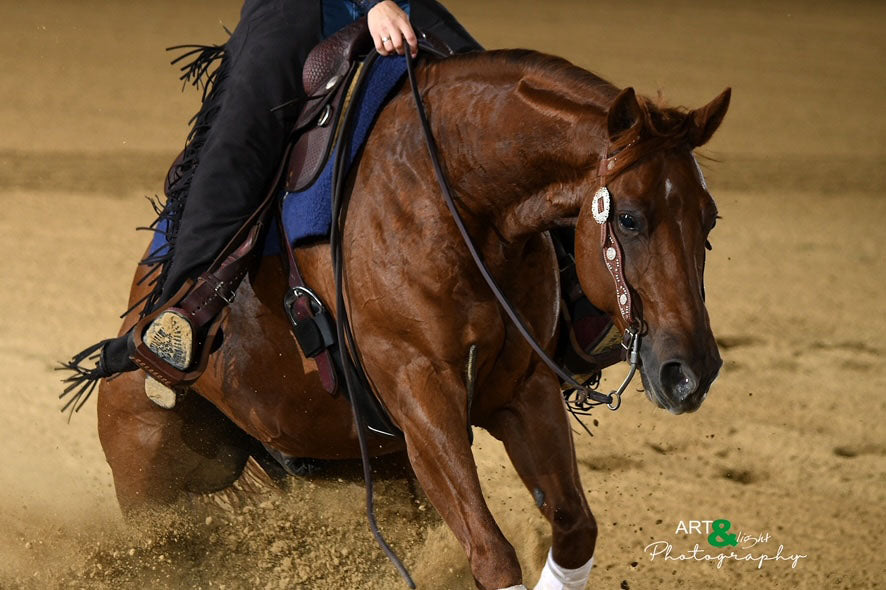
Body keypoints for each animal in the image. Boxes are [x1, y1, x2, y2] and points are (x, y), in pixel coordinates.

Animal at [95, 51, 728, 590]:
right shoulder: (422, 395)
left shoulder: (524, 391)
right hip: (150, 482)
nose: (690, 372)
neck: (456, 206)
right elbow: (492, 554)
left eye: (710, 218)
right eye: (629, 217)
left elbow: (575, 528)